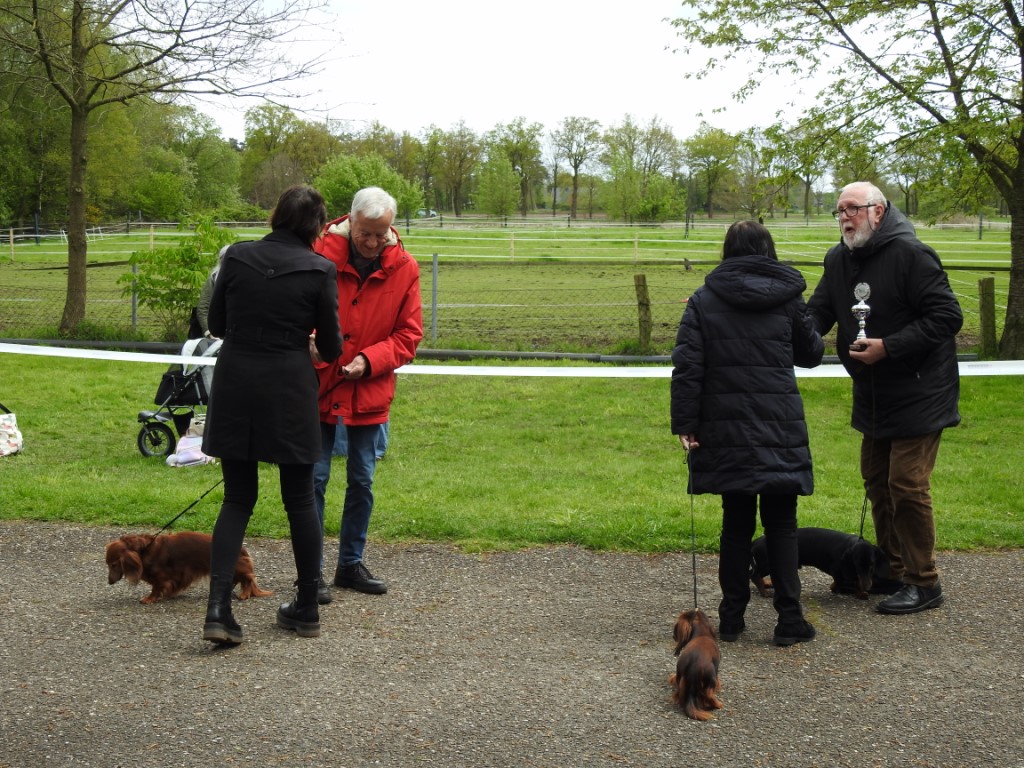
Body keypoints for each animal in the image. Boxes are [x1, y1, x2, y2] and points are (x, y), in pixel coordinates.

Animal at [105, 532, 272, 604]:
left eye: (114, 564)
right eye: (108, 564)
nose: (109, 582)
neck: (144, 550)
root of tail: (242, 549)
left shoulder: (162, 576)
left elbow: (156, 588)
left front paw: (149, 599)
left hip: (236, 568)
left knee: (248, 578)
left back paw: (244, 594)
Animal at [750, 527, 896, 600]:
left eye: (872, 566)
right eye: (858, 566)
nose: (868, 587)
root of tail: (755, 542)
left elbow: (856, 582)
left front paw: (860, 593)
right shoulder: (837, 569)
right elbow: (841, 581)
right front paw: (836, 589)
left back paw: (767, 584)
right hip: (767, 564)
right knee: (754, 575)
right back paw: (764, 592)